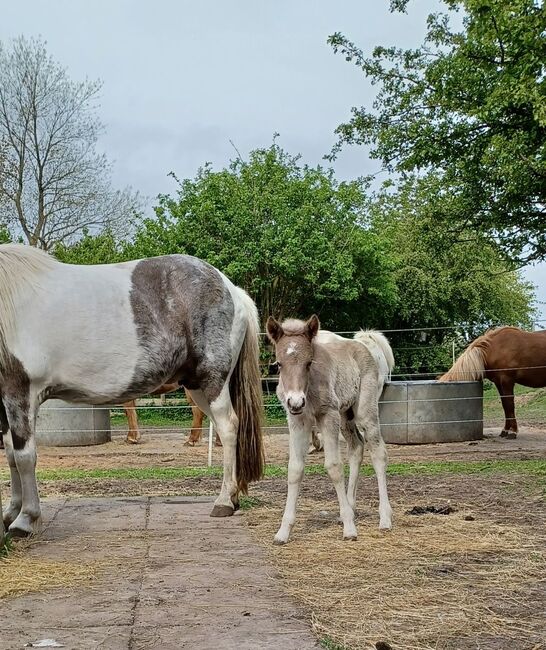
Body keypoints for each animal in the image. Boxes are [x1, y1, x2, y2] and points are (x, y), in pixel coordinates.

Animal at [0, 246, 264, 536]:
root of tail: (231, 289)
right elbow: (11, 455)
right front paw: (10, 513)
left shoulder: (20, 393)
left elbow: (24, 456)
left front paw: (25, 519)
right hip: (197, 387)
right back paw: (233, 496)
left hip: (213, 381)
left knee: (228, 427)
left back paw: (224, 501)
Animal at [266, 314, 392, 540]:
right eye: (279, 364)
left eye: (309, 363)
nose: (295, 402)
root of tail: (362, 343)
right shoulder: (297, 421)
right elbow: (294, 469)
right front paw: (283, 532)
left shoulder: (328, 415)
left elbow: (334, 466)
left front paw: (350, 529)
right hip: (346, 416)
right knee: (357, 446)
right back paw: (350, 508)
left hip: (364, 412)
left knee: (379, 453)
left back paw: (384, 518)